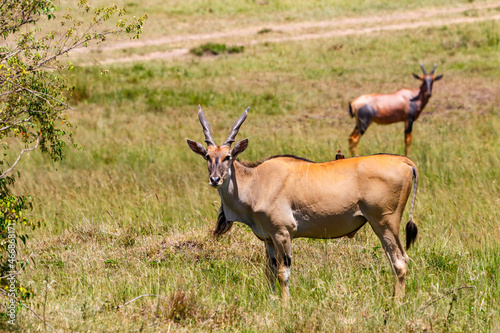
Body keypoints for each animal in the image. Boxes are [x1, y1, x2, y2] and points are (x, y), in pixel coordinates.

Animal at [186, 106, 420, 304]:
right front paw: (272, 303)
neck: (256, 181)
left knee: (400, 261)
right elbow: (270, 272)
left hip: (384, 223)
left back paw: (396, 305)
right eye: (207, 156)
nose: (215, 179)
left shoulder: (283, 233)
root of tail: (405, 162)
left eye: (228, 157)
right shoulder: (268, 239)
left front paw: (285, 306)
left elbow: (283, 273)